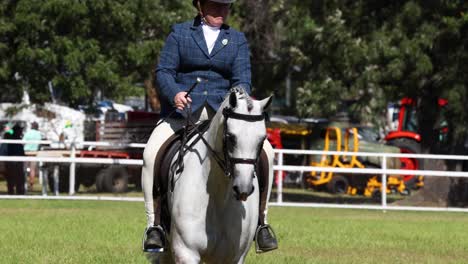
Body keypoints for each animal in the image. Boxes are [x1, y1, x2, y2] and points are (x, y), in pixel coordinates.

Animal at [158, 87, 270, 262]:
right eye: (231, 137)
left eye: (262, 139)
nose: (243, 188)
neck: (218, 194)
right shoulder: (186, 252)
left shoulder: (234, 257)